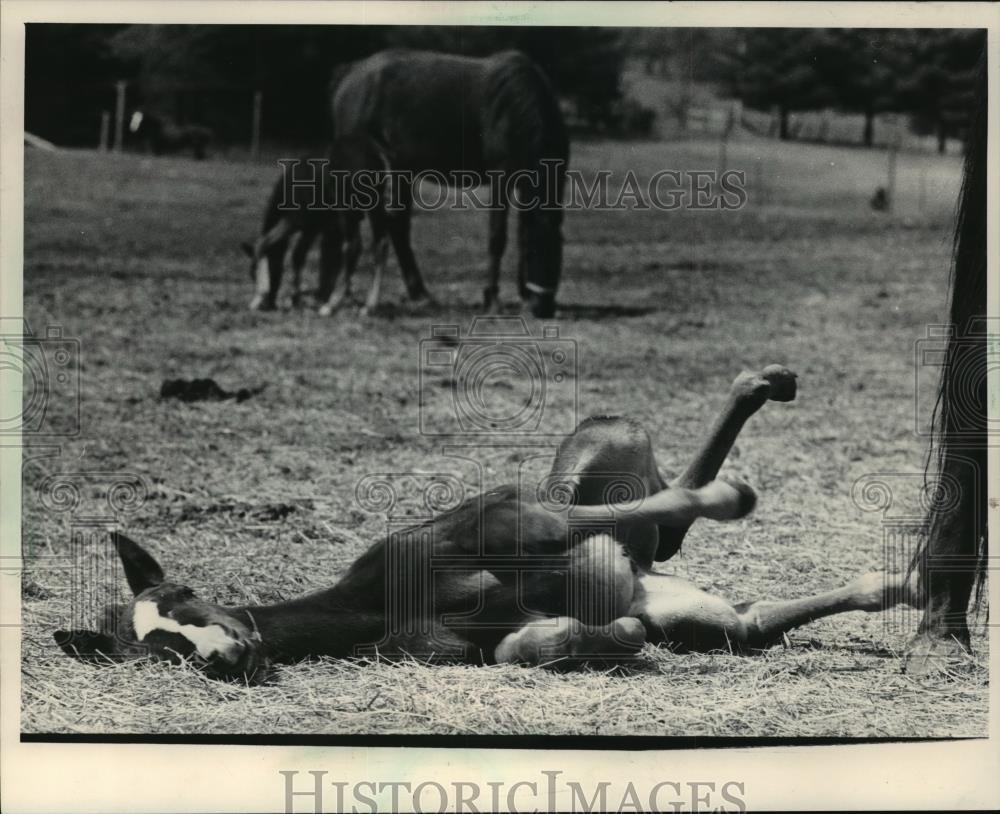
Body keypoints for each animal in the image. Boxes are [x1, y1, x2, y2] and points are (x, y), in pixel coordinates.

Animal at [54, 365, 922, 683]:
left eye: (188, 604)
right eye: (160, 652)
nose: (225, 655)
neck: (370, 605)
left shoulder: (502, 524)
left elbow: (570, 527)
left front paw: (732, 499)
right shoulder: (484, 641)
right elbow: (554, 641)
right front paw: (602, 637)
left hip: (587, 464)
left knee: (663, 494)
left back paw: (757, 393)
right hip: (703, 615)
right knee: (749, 614)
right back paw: (900, 582)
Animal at [321, 49, 569, 319]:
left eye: (559, 249)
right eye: (536, 251)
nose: (544, 308)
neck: (518, 107)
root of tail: (350, 72)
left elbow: (521, 230)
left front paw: (521, 294)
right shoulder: (501, 178)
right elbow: (498, 237)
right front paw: (492, 299)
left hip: (400, 169)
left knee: (398, 227)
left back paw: (419, 293)